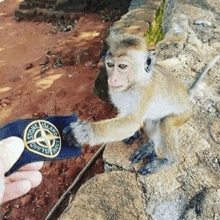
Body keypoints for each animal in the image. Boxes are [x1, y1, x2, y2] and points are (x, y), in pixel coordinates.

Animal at [62, 30, 220, 175]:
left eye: (122, 66)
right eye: (110, 64)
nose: (112, 79)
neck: (133, 85)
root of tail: (186, 97)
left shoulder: (144, 92)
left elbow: (132, 121)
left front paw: (83, 132)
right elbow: (127, 115)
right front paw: (135, 133)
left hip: (184, 115)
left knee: (166, 122)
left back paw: (168, 160)